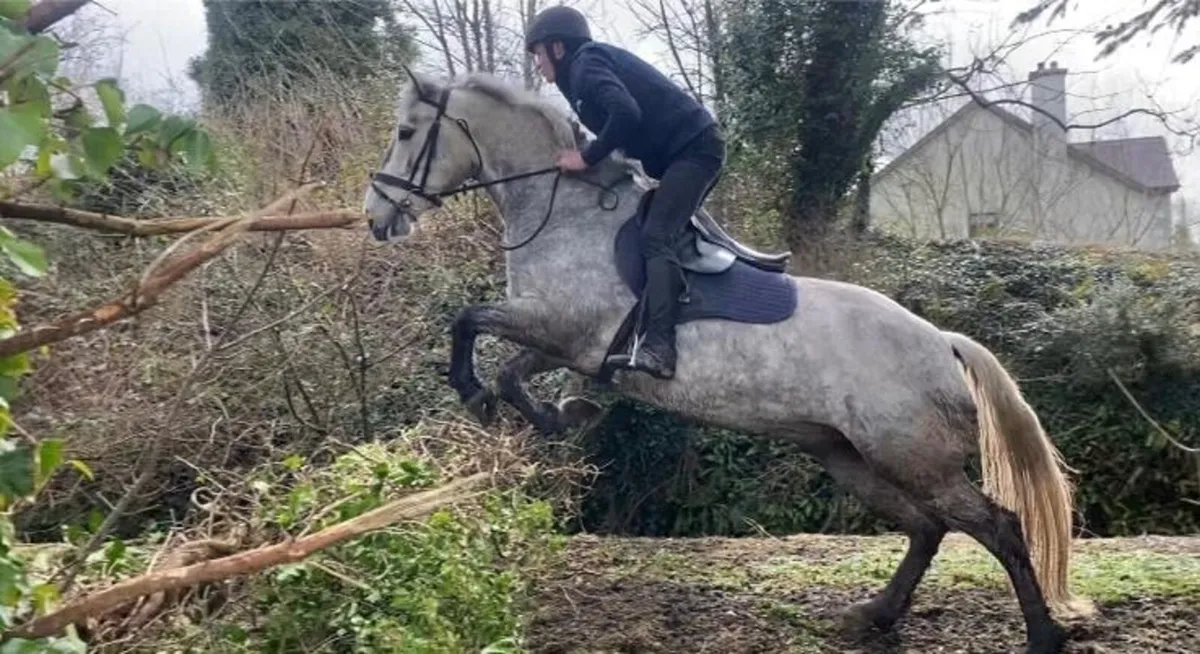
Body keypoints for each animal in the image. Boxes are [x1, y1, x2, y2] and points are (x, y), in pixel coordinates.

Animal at [361, 70, 1093, 653]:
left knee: (995, 526)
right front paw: (554, 413)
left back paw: (1042, 634)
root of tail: (943, 340)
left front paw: (475, 391)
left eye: (405, 132)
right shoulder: (567, 343)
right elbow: (512, 369)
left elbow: (468, 321)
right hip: (847, 454)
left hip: (911, 457)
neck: (564, 211)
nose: (375, 218)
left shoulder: (562, 325)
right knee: (926, 528)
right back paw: (874, 618)